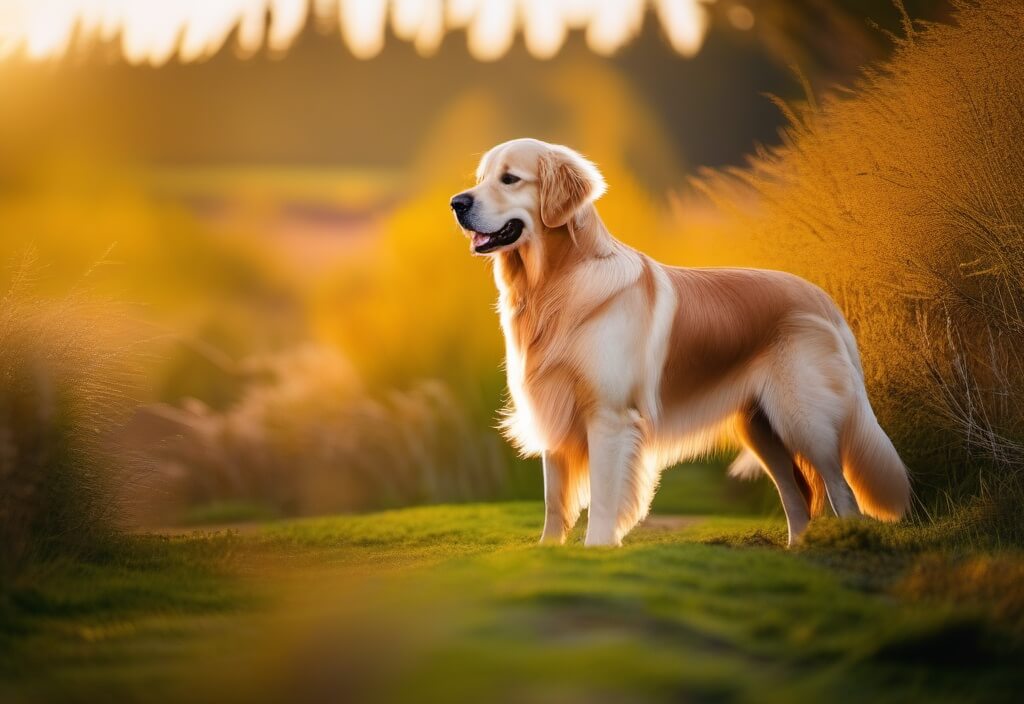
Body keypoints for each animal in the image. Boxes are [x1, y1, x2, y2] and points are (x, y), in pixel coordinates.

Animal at [450, 137, 913, 544]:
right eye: (481, 178)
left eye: (510, 179)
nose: (457, 203)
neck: (555, 285)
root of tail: (823, 298)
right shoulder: (554, 405)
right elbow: (553, 500)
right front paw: (549, 552)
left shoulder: (610, 416)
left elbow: (603, 498)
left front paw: (596, 551)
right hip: (761, 429)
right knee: (797, 497)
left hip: (805, 419)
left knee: (841, 489)